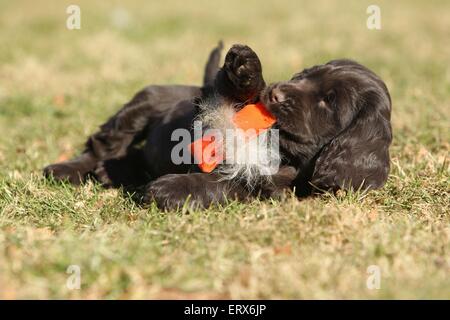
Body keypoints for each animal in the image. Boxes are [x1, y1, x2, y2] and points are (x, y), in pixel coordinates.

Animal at [44, 42, 392, 210]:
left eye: (329, 102)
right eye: (303, 75)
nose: (275, 93)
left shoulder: (269, 188)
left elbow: (226, 184)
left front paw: (171, 189)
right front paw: (245, 69)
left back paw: (111, 172)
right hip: (146, 101)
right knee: (104, 144)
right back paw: (65, 169)